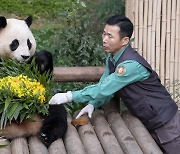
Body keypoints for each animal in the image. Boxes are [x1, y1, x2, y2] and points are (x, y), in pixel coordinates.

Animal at [0, 15, 67, 147]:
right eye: (15, 43)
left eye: (29, 43)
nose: (25, 56)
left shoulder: (29, 65)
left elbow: (42, 76)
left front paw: (42, 60)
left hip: (46, 105)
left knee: (57, 113)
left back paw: (46, 135)